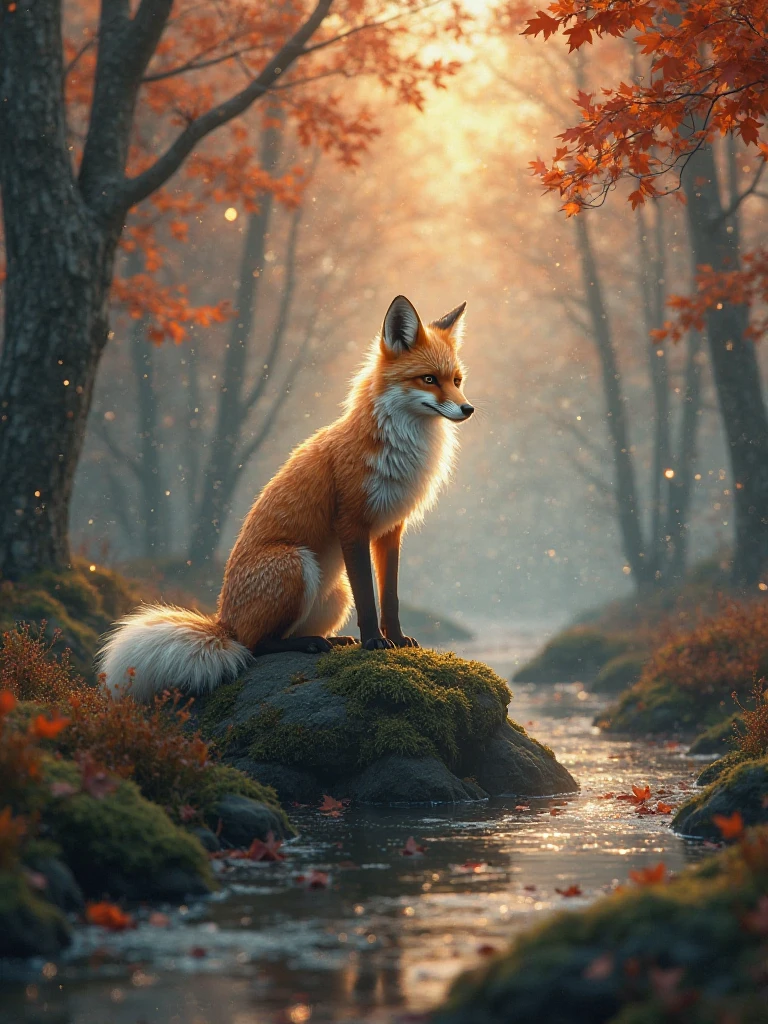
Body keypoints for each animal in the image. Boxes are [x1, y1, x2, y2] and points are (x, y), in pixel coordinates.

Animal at [97, 295, 474, 701]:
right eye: (429, 379)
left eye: (456, 381)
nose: (468, 409)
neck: (398, 447)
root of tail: (222, 620)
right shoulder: (352, 522)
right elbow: (368, 598)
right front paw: (374, 642)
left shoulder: (391, 529)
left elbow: (389, 597)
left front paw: (398, 640)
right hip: (296, 563)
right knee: (255, 645)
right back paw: (310, 644)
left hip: (333, 593)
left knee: (278, 635)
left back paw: (330, 641)